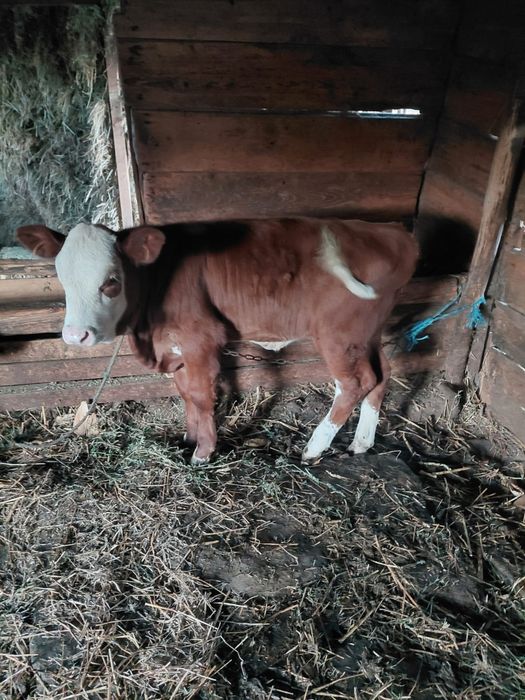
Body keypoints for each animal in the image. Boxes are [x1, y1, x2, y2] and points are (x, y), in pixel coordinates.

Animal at [17, 218, 418, 465]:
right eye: (62, 277)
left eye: (111, 282)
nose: (75, 335)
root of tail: (395, 232)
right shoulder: (176, 347)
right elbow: (185, 395)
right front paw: (189, 439)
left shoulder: (200, 339)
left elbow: (200, 395)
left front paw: (203, 452)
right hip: (367, 334)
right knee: (382, 375)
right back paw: (361, 442)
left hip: (339, 336)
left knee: (355, 383)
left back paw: (314, 448)